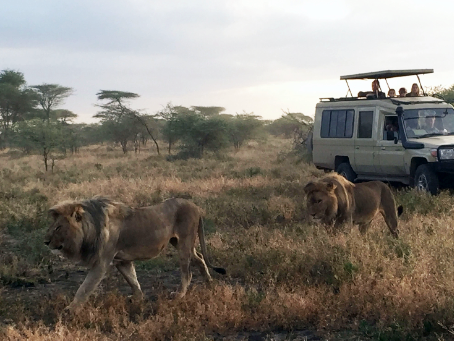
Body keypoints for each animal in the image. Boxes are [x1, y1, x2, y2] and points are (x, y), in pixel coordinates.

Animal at [44, 195, 226, 312]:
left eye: (58, 227)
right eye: (52, 226)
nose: (45, 241)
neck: (92, 228)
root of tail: (196, 207)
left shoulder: (101, 262)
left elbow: (84, 287)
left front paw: (71, 309)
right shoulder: (121, 260)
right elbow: (132, 279)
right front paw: (138, 298)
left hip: (184, 243)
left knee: (187, 272)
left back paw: (180, 295)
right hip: (179, 242)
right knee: (200, 259)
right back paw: (209, 284)